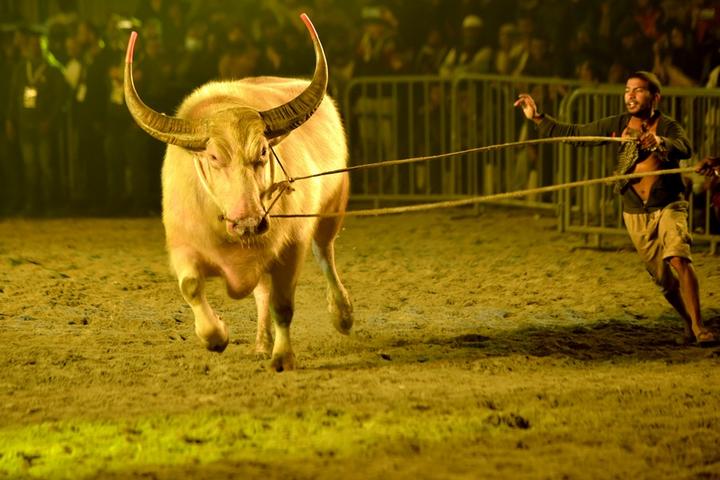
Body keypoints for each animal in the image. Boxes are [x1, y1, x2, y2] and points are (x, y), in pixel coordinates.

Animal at [123, 14, 353, 372]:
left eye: (262, 151)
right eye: (214, 157)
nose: (248, 222)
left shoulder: (292, 246)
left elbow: (283, 305)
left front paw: (283, 357)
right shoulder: (182, 246)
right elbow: (191, 287)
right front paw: (216, 336)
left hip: (332, 210)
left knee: (324, 254)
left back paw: (341, 314)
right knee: (262, 292)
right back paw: (260, 343)